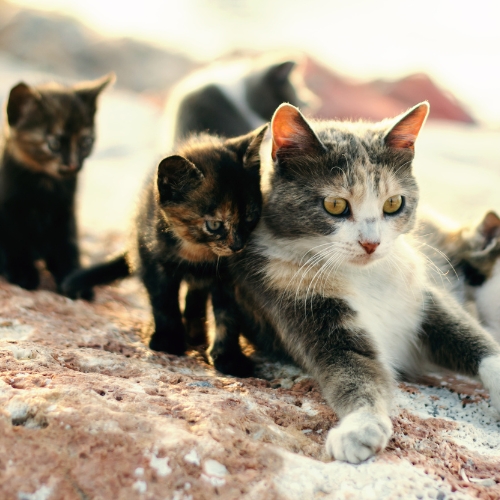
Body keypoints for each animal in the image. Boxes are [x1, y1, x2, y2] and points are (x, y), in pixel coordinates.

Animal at [64, 127, 268, 374]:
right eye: (214, 225)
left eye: (250, 217)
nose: (238, 246)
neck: (196, 251)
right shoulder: (152, 260)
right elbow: (163, 301)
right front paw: (169, 340)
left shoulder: (228, 277)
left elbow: (228, 314)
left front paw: (228, 357)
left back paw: (195, 332)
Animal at [224, 102, 500, 464]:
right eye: (335, 205)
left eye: (394, 203)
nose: (371, 243)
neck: (363, 275)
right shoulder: (299, 304)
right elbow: (355, 370)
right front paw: (361, 427)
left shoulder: (422, 294)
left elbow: (466, 334)